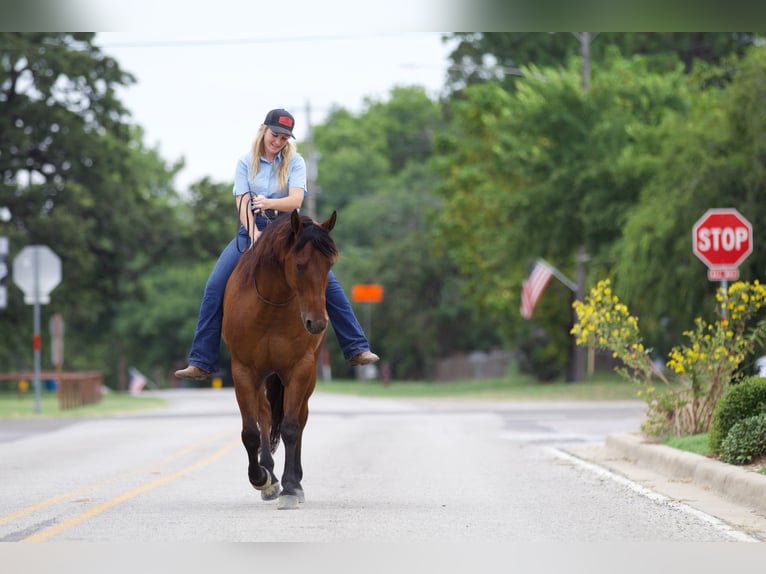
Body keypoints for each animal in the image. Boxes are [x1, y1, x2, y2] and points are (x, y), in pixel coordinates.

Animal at [224, 209, 340, 510]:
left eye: (329, 265)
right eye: (299, 265)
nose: (317, 322)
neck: (270, 307)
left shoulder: (299, 369)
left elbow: (290, 427)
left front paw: (290, 487)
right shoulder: (243, 371)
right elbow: (250, 432)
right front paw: (261, 479)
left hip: (306, 377)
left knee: (299, 418)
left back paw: (294, 481)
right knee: (264, 413)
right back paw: (269, 474)